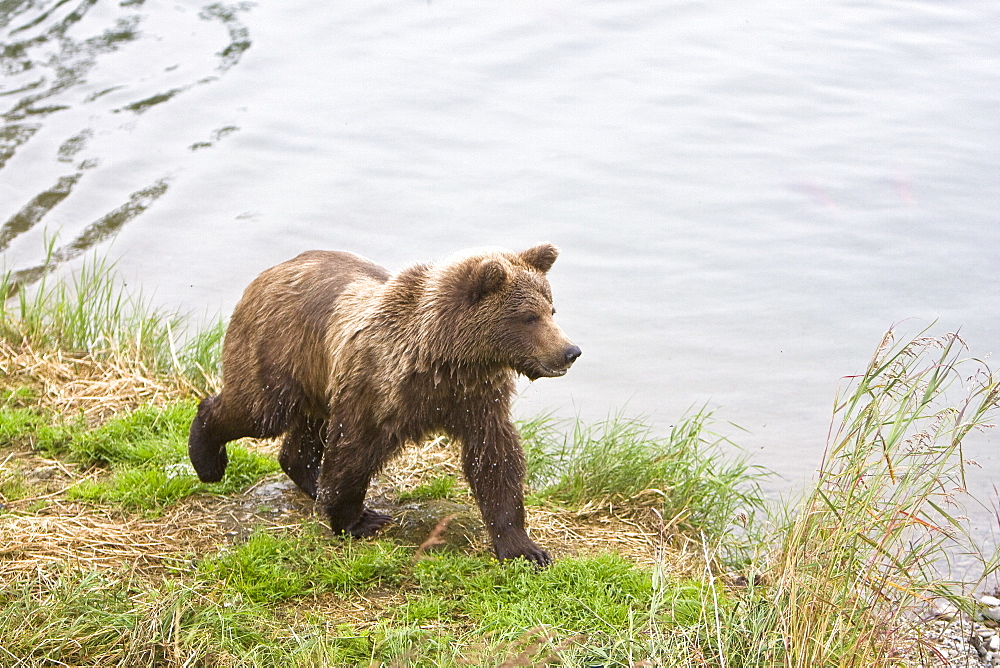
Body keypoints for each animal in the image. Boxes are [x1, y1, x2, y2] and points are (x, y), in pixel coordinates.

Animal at [188, 243, 580, 568]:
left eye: (551, 309)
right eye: (529, 316)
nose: (570, 351)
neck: (447, 359)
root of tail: (273, 269)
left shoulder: (476, 400)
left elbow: (496, 459)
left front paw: (524, 548)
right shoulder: (379, 387)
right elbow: (354, 449)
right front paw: (358, 519)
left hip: (319, 376)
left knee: (305, 430)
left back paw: (311, 481)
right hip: (282, 350)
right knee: (259, 410)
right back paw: (208, 458)